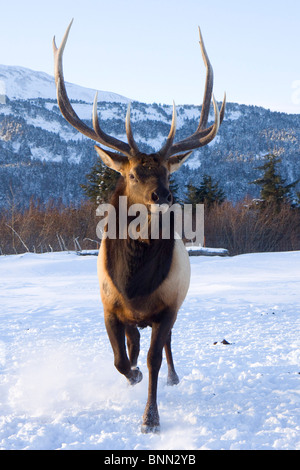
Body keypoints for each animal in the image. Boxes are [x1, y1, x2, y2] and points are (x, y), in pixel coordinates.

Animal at [52, 21, 225, 434]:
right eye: (132, 174)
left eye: (166, 172)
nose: (163, 195)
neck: (134, 285)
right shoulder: (109, 307)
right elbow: (120, 360)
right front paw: (132, 378)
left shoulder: (168, 306)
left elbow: (153, 359)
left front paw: (150, 418)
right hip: (132, 319)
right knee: (132, 345)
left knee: (164, 347)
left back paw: (173, 378)